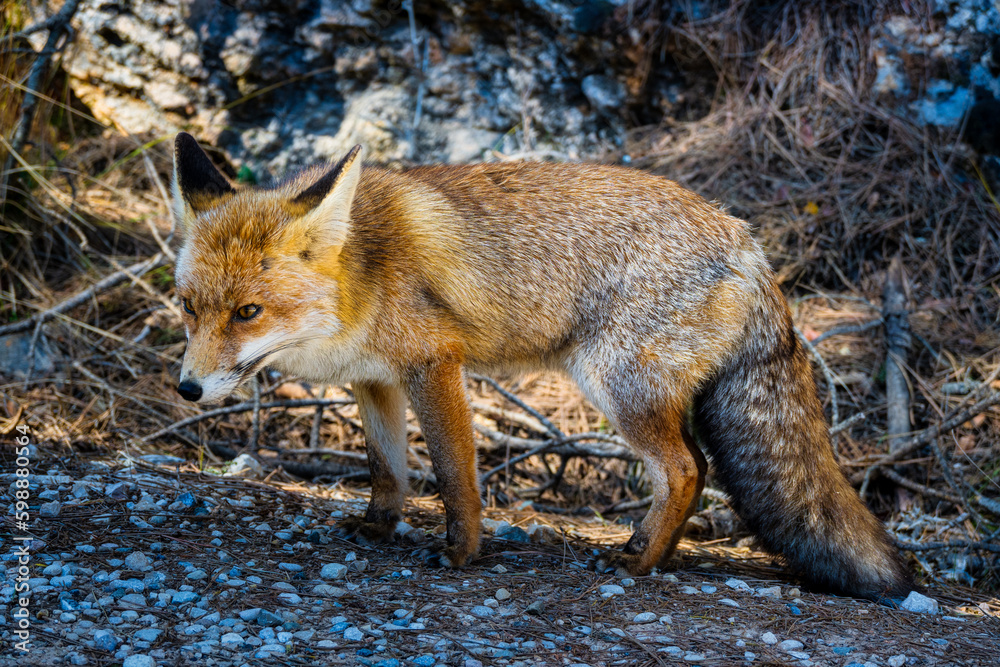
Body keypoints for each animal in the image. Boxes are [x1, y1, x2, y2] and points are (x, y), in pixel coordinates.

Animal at [169, 131, 913, 601]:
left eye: (248, 312)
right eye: (188, 308)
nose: (187, 387)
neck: (359, 276)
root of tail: (747, 240)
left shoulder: (433, 363)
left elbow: (454, 474)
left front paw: (461, 552)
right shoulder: (375, 379)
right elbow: (388, 468)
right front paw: (379, 526)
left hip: (616, 386)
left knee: (685, 469)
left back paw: (640, 562)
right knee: (693, 471)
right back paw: (650, 549)